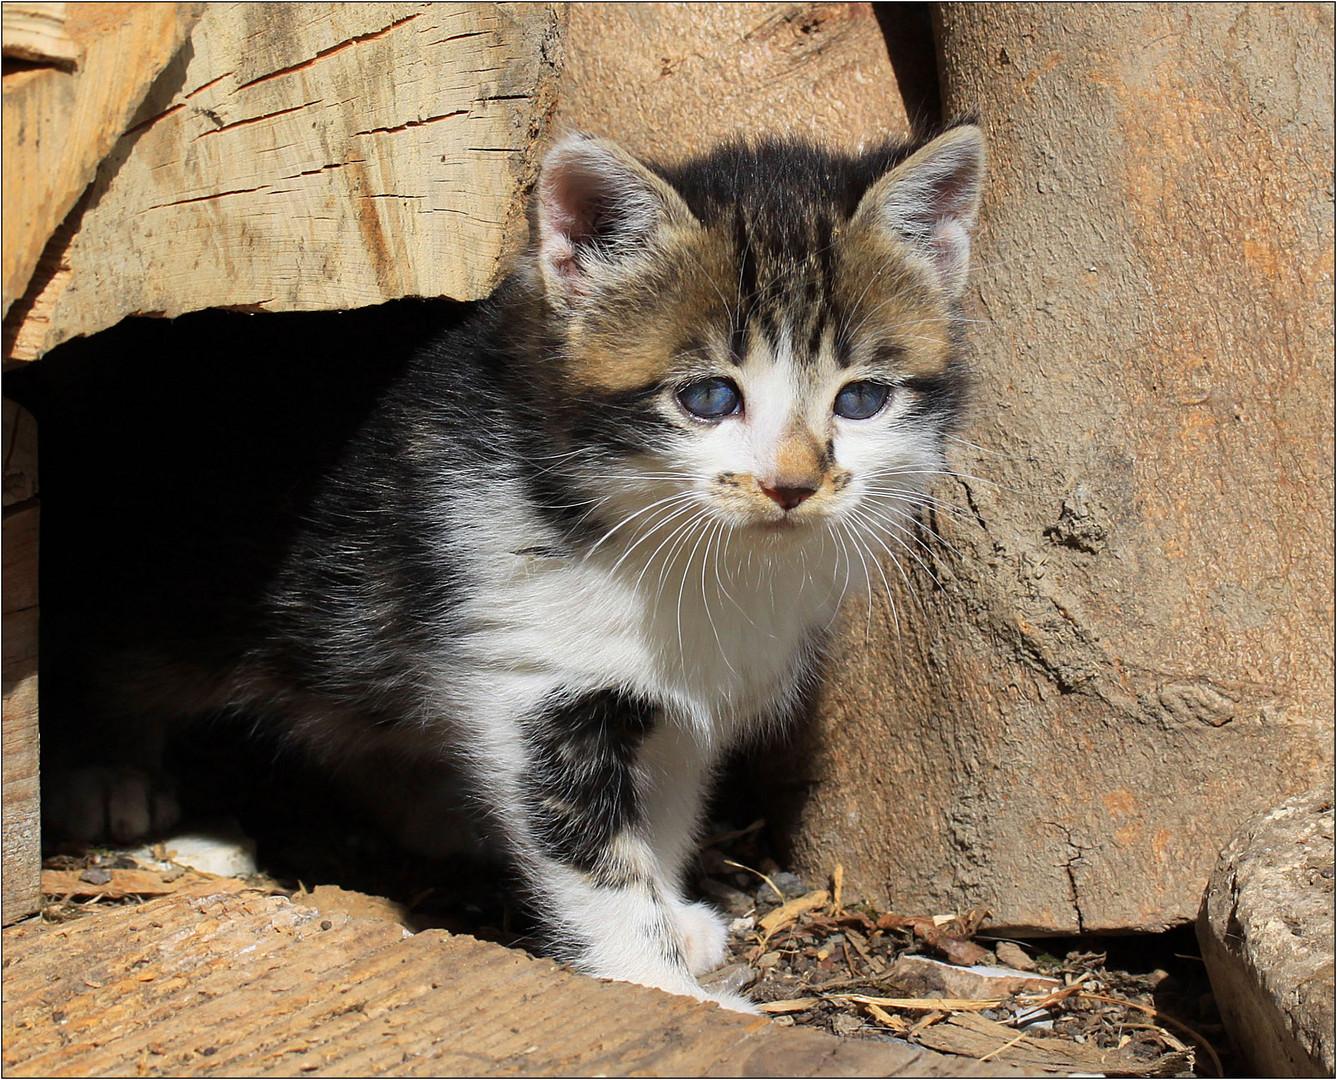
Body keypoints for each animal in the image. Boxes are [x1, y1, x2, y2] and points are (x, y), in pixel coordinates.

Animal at [31, 126, 984, 1010]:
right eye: (709, 397)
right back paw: (106, 777)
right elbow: (592, 855)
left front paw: (674, 918)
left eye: (861, 399)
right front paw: (656, 981)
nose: (791, 487)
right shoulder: (528, 679)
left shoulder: (674, 700)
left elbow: (663, 807)